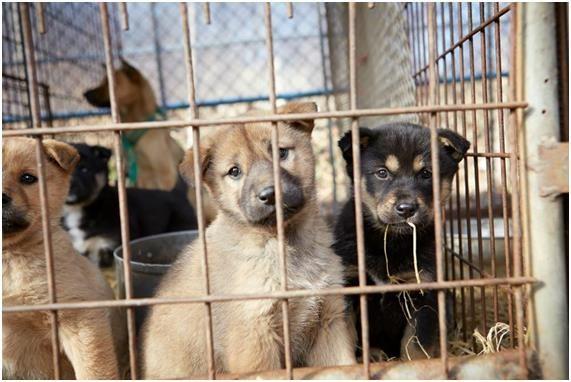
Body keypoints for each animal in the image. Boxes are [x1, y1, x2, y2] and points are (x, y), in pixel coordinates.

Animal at [332, 123, 472, 362]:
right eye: (382, 173)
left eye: (426, 173)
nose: (406, 209)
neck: (391, 241)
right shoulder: (350, 286)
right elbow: (347, 339)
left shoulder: (423, 293)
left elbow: (416, 345)